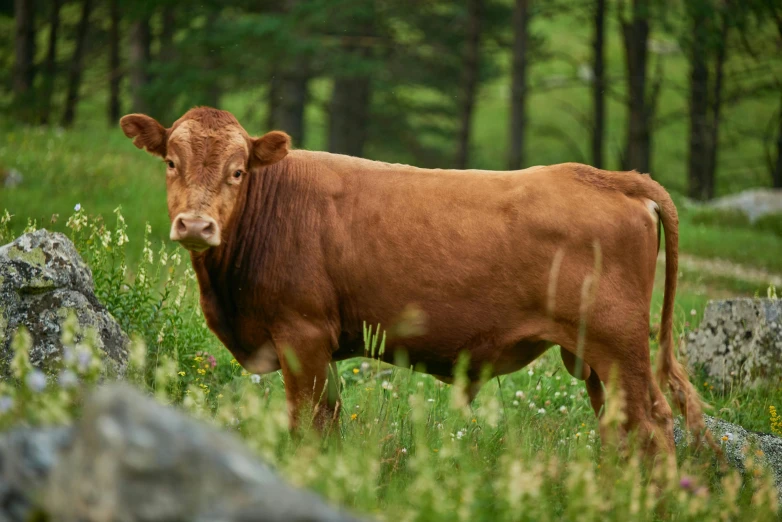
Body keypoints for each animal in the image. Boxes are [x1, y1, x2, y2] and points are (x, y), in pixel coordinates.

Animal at [119, 106, 708, 456]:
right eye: (170, 161)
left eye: (238, 171)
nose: (197, 225)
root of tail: (611, 177)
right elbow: (329, 420)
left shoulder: (301, 336)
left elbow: (307, 424)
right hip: (594, 359)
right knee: (620, 430)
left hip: (620, 347)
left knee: (653, 426)